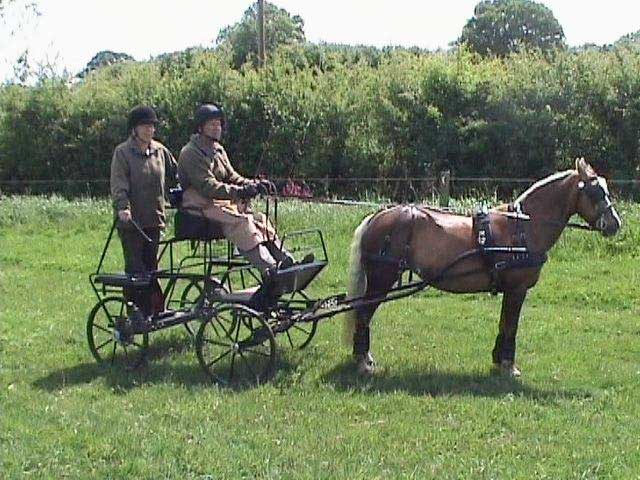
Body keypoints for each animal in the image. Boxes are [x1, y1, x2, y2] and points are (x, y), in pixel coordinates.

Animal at [348, 159, 624, 376]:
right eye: (596, 192)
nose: (615, 224)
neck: (523, 228)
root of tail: (377, 217)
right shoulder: (517, 289)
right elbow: (511, 326)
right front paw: (509, 366)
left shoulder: (511, 290)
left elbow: (504, 325)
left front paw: (498, 362)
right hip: (381, 280)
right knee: (362, 314)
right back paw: (362, 362)